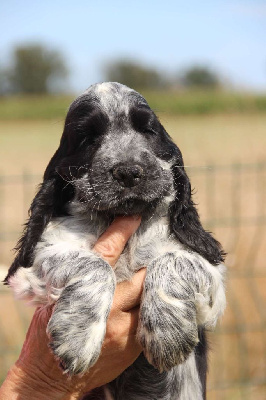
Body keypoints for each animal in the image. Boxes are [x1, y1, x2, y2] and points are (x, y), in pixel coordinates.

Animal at [4, 82, 224, 400]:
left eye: (148, 130)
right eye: (87, 138)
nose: (128, 171)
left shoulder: (213, 281)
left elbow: (173, 259)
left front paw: (168, 332)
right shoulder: (34, 266)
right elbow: (93, 264)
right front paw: (77, 337)